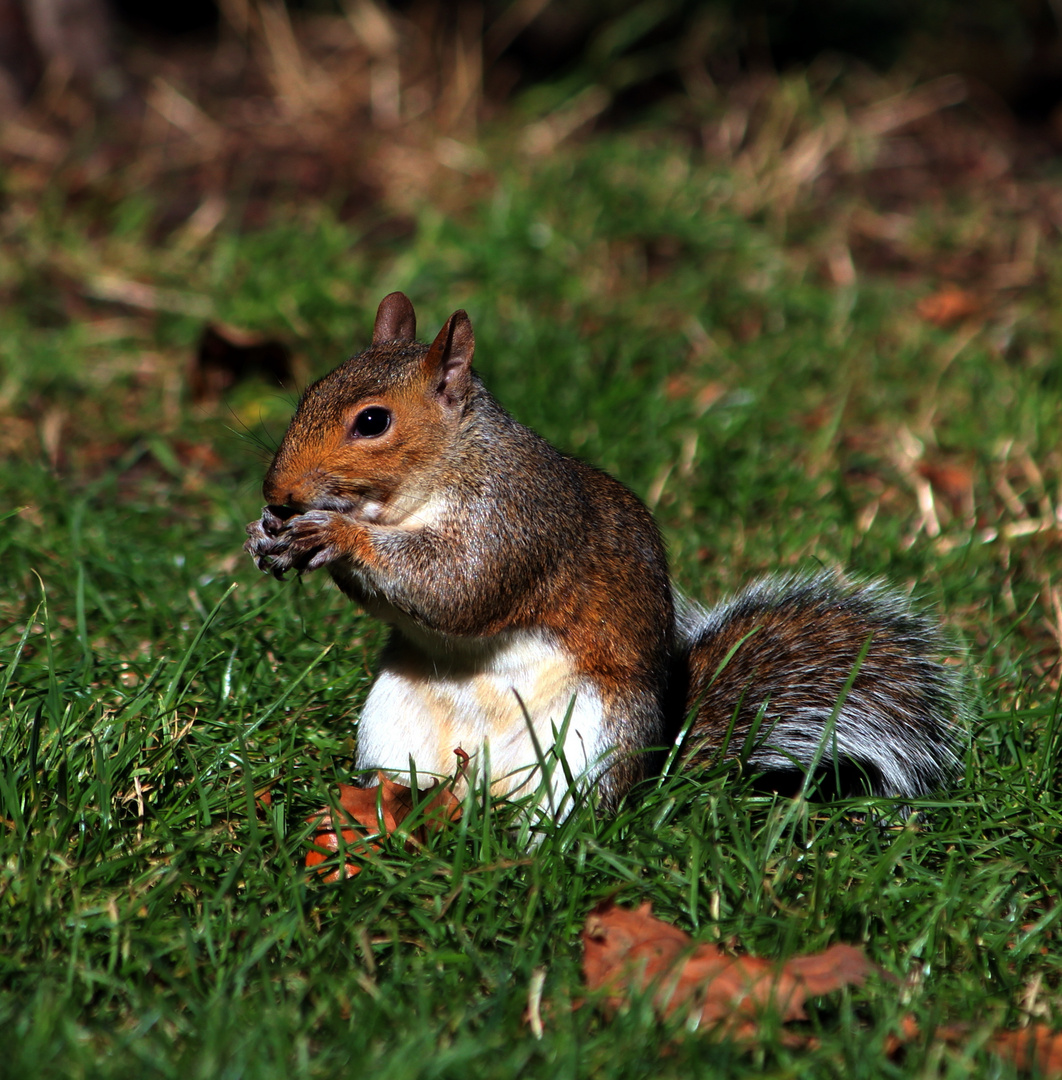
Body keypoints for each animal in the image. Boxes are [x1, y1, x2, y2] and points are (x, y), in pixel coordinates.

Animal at [247, 291, 963, 812]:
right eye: (309, 391)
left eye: (373, 421)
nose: (277, 492)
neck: (433, 480)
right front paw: (270, 536)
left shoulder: (518, 521)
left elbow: (457, 587)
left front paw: (333, 534)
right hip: (392, 721)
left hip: (588, 742)